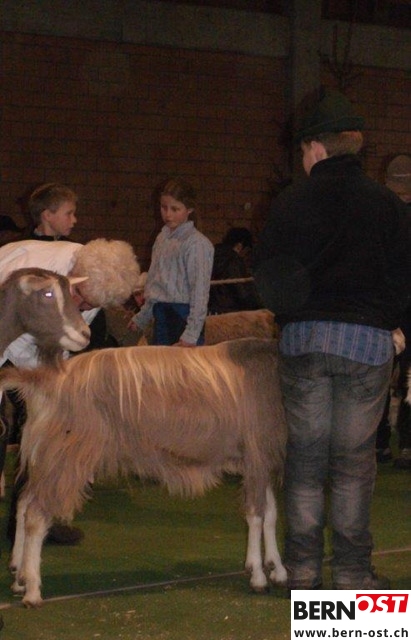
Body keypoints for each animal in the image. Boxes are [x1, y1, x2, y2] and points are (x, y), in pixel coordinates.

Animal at [0, 337, 287, 607]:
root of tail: (44, 380)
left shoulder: (264, 461)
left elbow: (271, 514)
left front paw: (278, 569)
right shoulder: (255, 457)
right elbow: (256, 516)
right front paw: (258, 576)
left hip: (47, 457)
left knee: (24, 505)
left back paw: (19, 577)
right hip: (66, 456)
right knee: (36, 516)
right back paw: (33, 591)